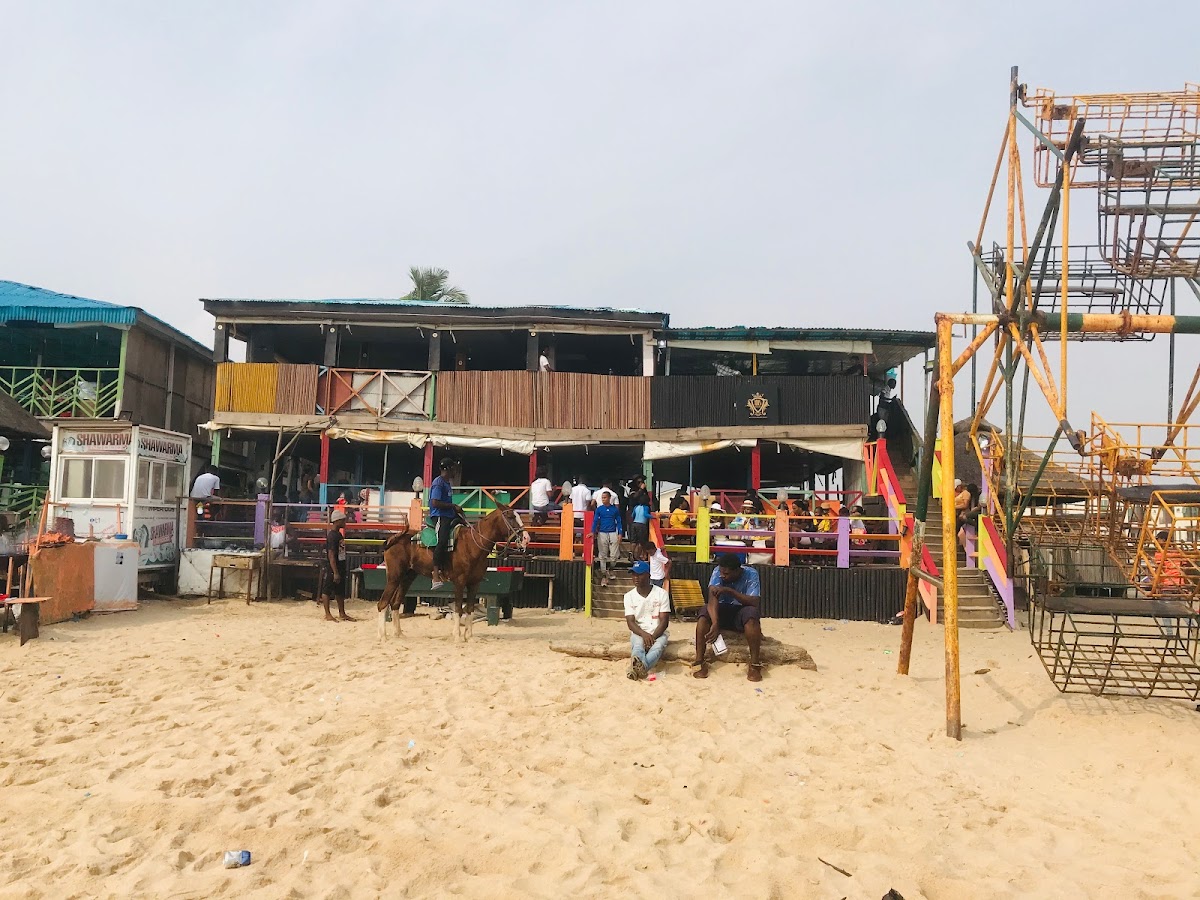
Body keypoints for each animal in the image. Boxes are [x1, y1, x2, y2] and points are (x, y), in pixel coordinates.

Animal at [376, 504, 527, 643]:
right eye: (510, 517)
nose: (526, 538)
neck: (472, 544)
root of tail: (394, 539)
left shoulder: (474, 584)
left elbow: (470, 609)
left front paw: (469, 637)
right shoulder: (459, 582)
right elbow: (459, 609)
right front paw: (458, 636)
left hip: (407, 577)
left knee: (395, 603)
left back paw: (399, 634)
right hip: (394, 577)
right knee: (383, 603)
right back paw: (382, 636)